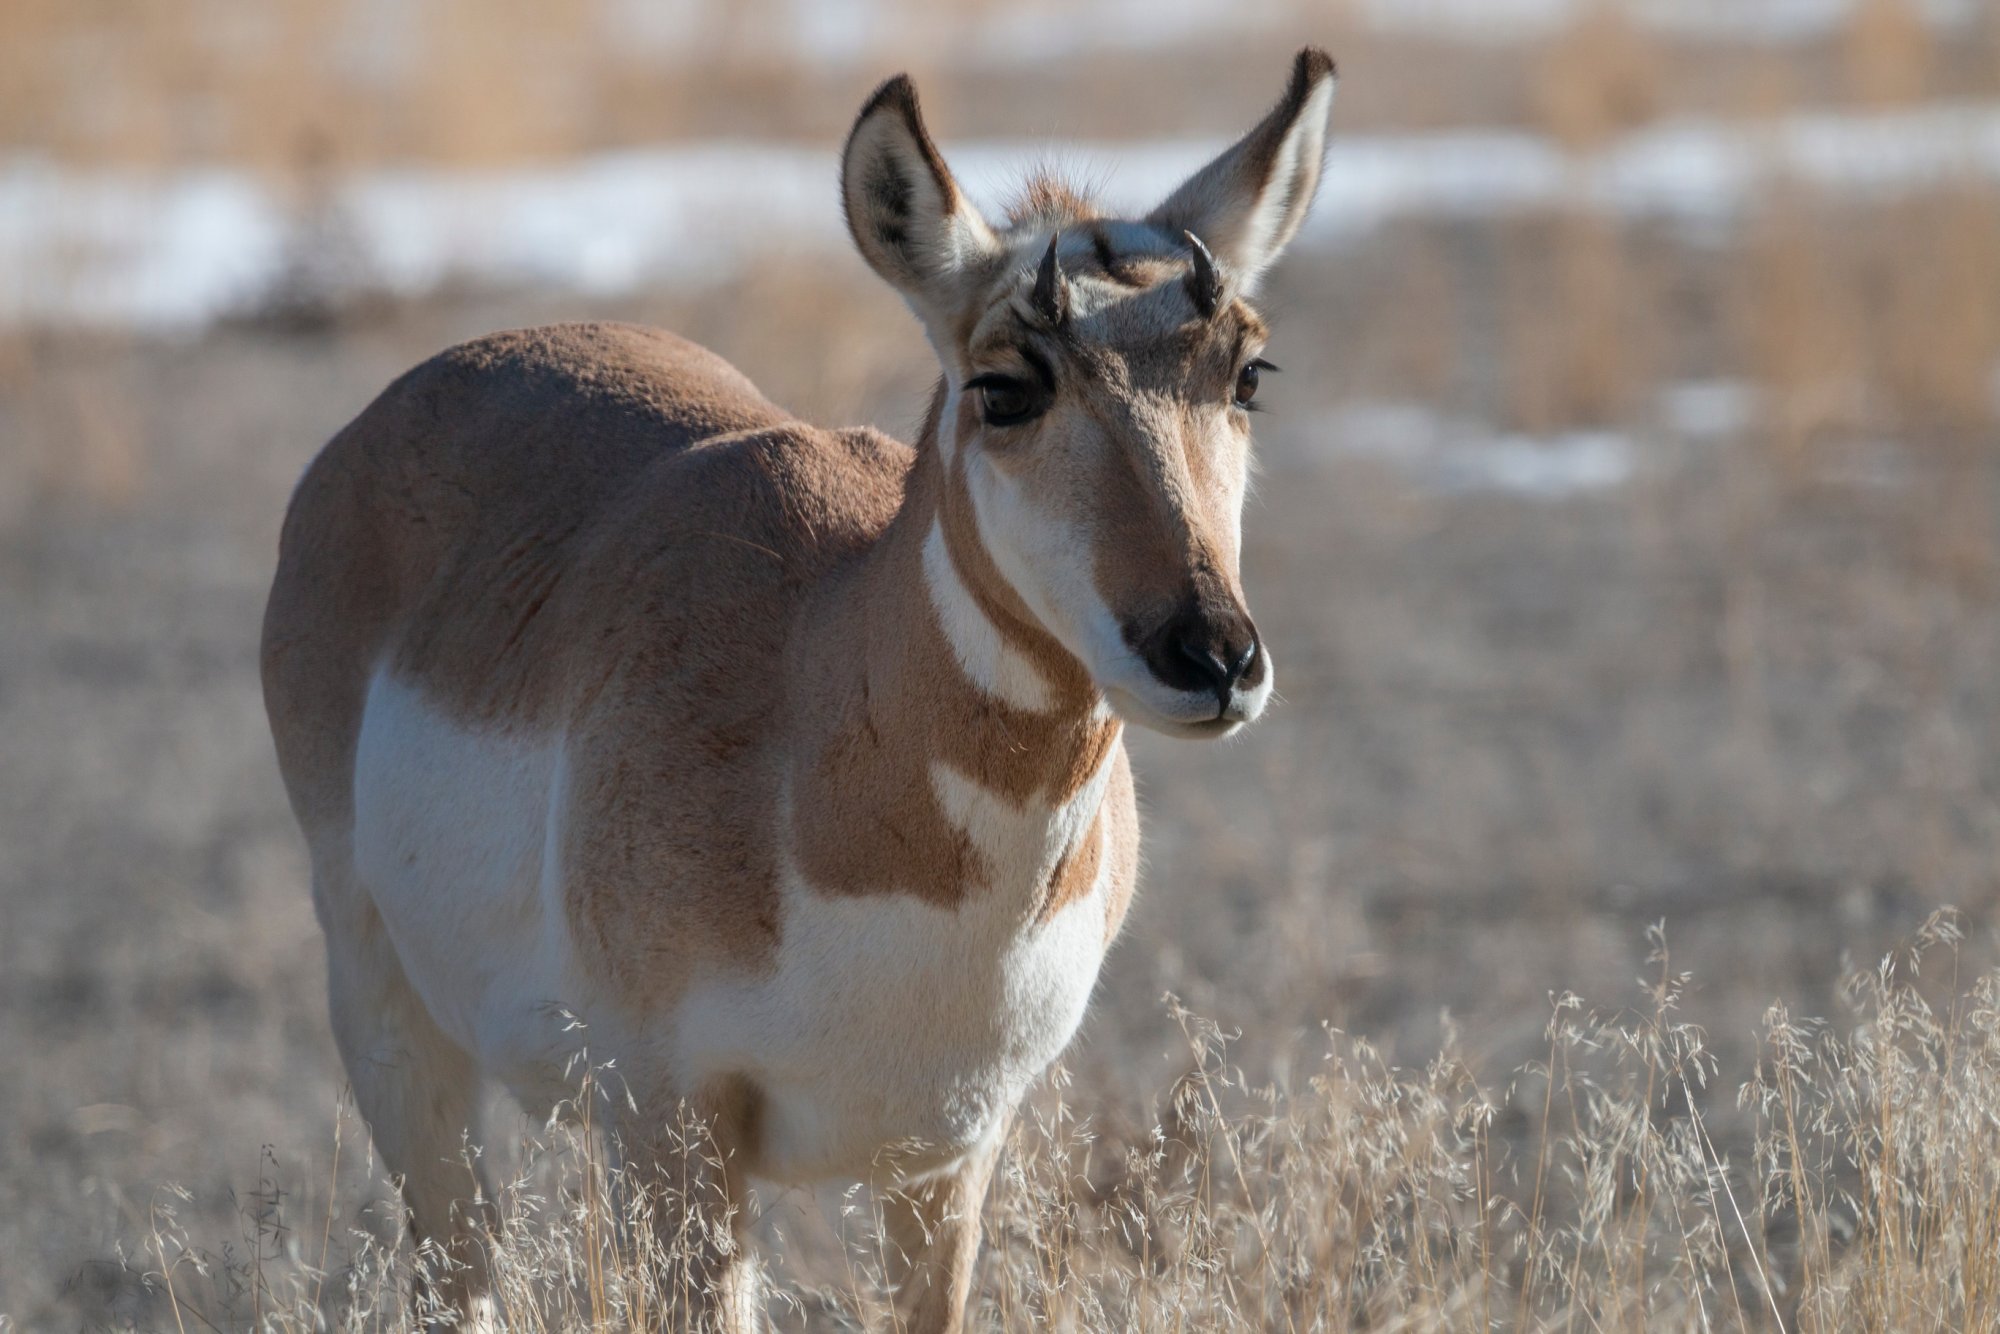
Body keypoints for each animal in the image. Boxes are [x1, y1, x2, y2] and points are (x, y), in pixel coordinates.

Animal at [262, 47, 1328, 1328]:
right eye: (1005, 383)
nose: (1211, 654)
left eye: (1247, 371)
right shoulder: (676, 1132)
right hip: (398, 1037)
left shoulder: (945, 1158)